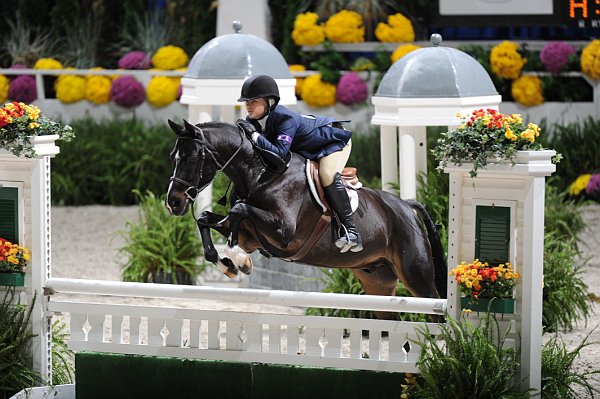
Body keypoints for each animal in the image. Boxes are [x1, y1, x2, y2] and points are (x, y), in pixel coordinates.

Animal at [164, 119, 446, 318]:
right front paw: (228, 265)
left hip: (417, 277)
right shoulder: (251, 234)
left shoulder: (284, 234)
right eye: (172, 157)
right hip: (377, 281)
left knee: (436, 312)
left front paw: (239, 259)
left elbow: (239, 211)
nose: (172, 203)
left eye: (191, 157)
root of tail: (406, 205)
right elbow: (206, 218)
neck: (261, 173)